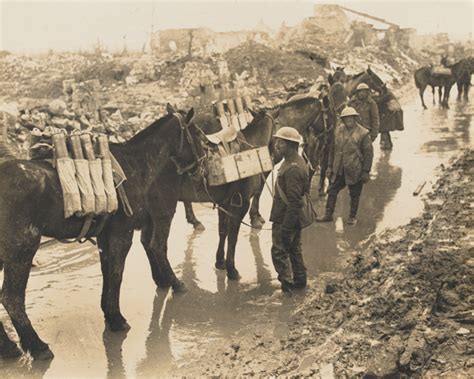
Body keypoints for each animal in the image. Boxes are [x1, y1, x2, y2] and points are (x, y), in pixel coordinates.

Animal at [0, 107, 203, 362]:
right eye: (197, 133)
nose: (203, 161)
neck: (136, 164)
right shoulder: (122, 234)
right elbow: (117, 274)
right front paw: (117, 320)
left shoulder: (106, 237)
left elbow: (108, 272)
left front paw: (109, 314)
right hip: (21, 250)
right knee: (12, 299)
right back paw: (37, 346)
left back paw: (8, 348)